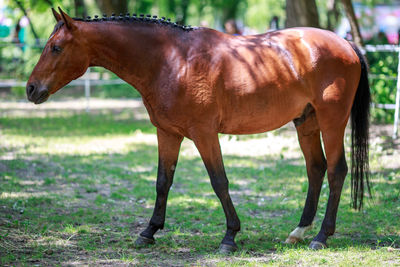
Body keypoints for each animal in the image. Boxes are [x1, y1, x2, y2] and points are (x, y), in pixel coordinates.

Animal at [27, 8, 372, 254]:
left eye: (56, 48)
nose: (31, 89)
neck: (171, 60)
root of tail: (346, 43)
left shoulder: (205, 134)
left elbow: (219, 182)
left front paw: (230, 237)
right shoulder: (167, 133)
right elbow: (162, 182)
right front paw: (149, 232)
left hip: (331, 121)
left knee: (336, 171)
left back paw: (321, 236)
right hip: (306, 123)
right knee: (315, 169)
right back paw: (299, 232)